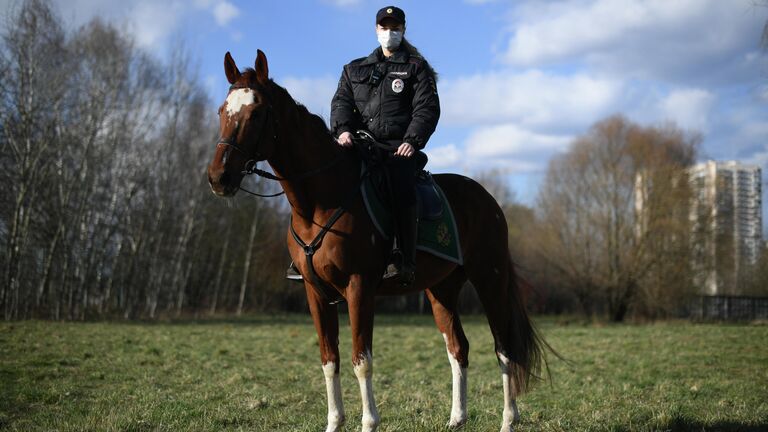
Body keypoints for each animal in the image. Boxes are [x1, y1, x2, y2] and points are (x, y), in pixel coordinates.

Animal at [207, 51, 544, 432]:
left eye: (256, 113)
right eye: (222, 111)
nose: (219, 178)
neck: (321, 201)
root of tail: (488, 199)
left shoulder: (359, 287)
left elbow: (361, 359)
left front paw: (369, 422)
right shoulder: (314, 292)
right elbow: (329, 359)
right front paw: (334, 423)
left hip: (490, 279)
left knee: (505, 348)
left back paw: (508, 420)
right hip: (441, 289)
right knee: (458, 348)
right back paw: (457, 418)